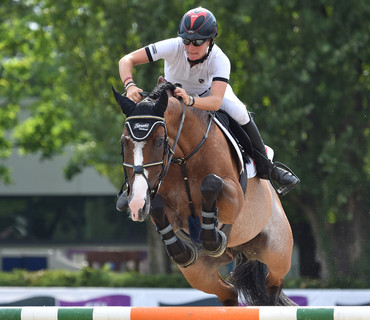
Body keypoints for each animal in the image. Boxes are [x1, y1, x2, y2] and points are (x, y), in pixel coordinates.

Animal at [111, 79, 296, 304]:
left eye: (159, 141)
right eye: (124, 142)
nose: (136, 202)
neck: (183, 157)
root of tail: (239, 250)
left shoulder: (234, 199)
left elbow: (211, 183)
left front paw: (212, 238)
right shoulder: (161, 201)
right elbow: (157, 207)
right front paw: (183, 251)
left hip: (277, 252)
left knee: (271, 288)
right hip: (199, 274)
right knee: (228, 292)